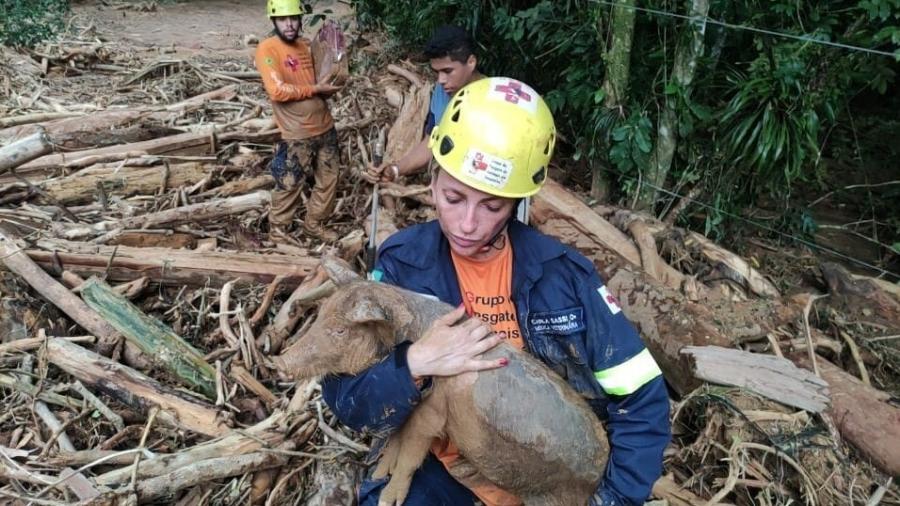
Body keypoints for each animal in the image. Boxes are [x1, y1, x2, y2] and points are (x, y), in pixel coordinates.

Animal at [272, 264, 612, 506]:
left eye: (341, 330)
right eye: (320, 315)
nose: (280, 362)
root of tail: (597, 474)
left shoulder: (433, 412)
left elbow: (411, 453)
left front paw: (387, 500)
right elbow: (397, 439)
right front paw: (381, 472)